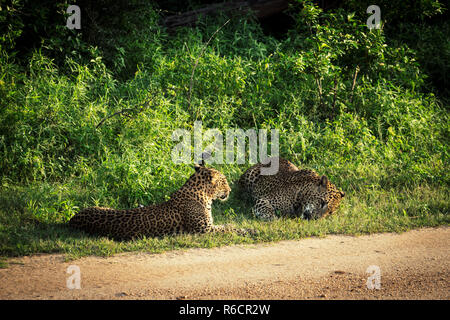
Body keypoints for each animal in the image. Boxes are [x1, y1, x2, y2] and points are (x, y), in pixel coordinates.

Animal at [69, 162, 248, 240]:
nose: (230, 190)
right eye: (223, 181)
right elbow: (229, 229)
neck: (203, 195)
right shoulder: (204, 230)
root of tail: (72, 220)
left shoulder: (209, 227)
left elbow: (227, 225)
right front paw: (247, 230)